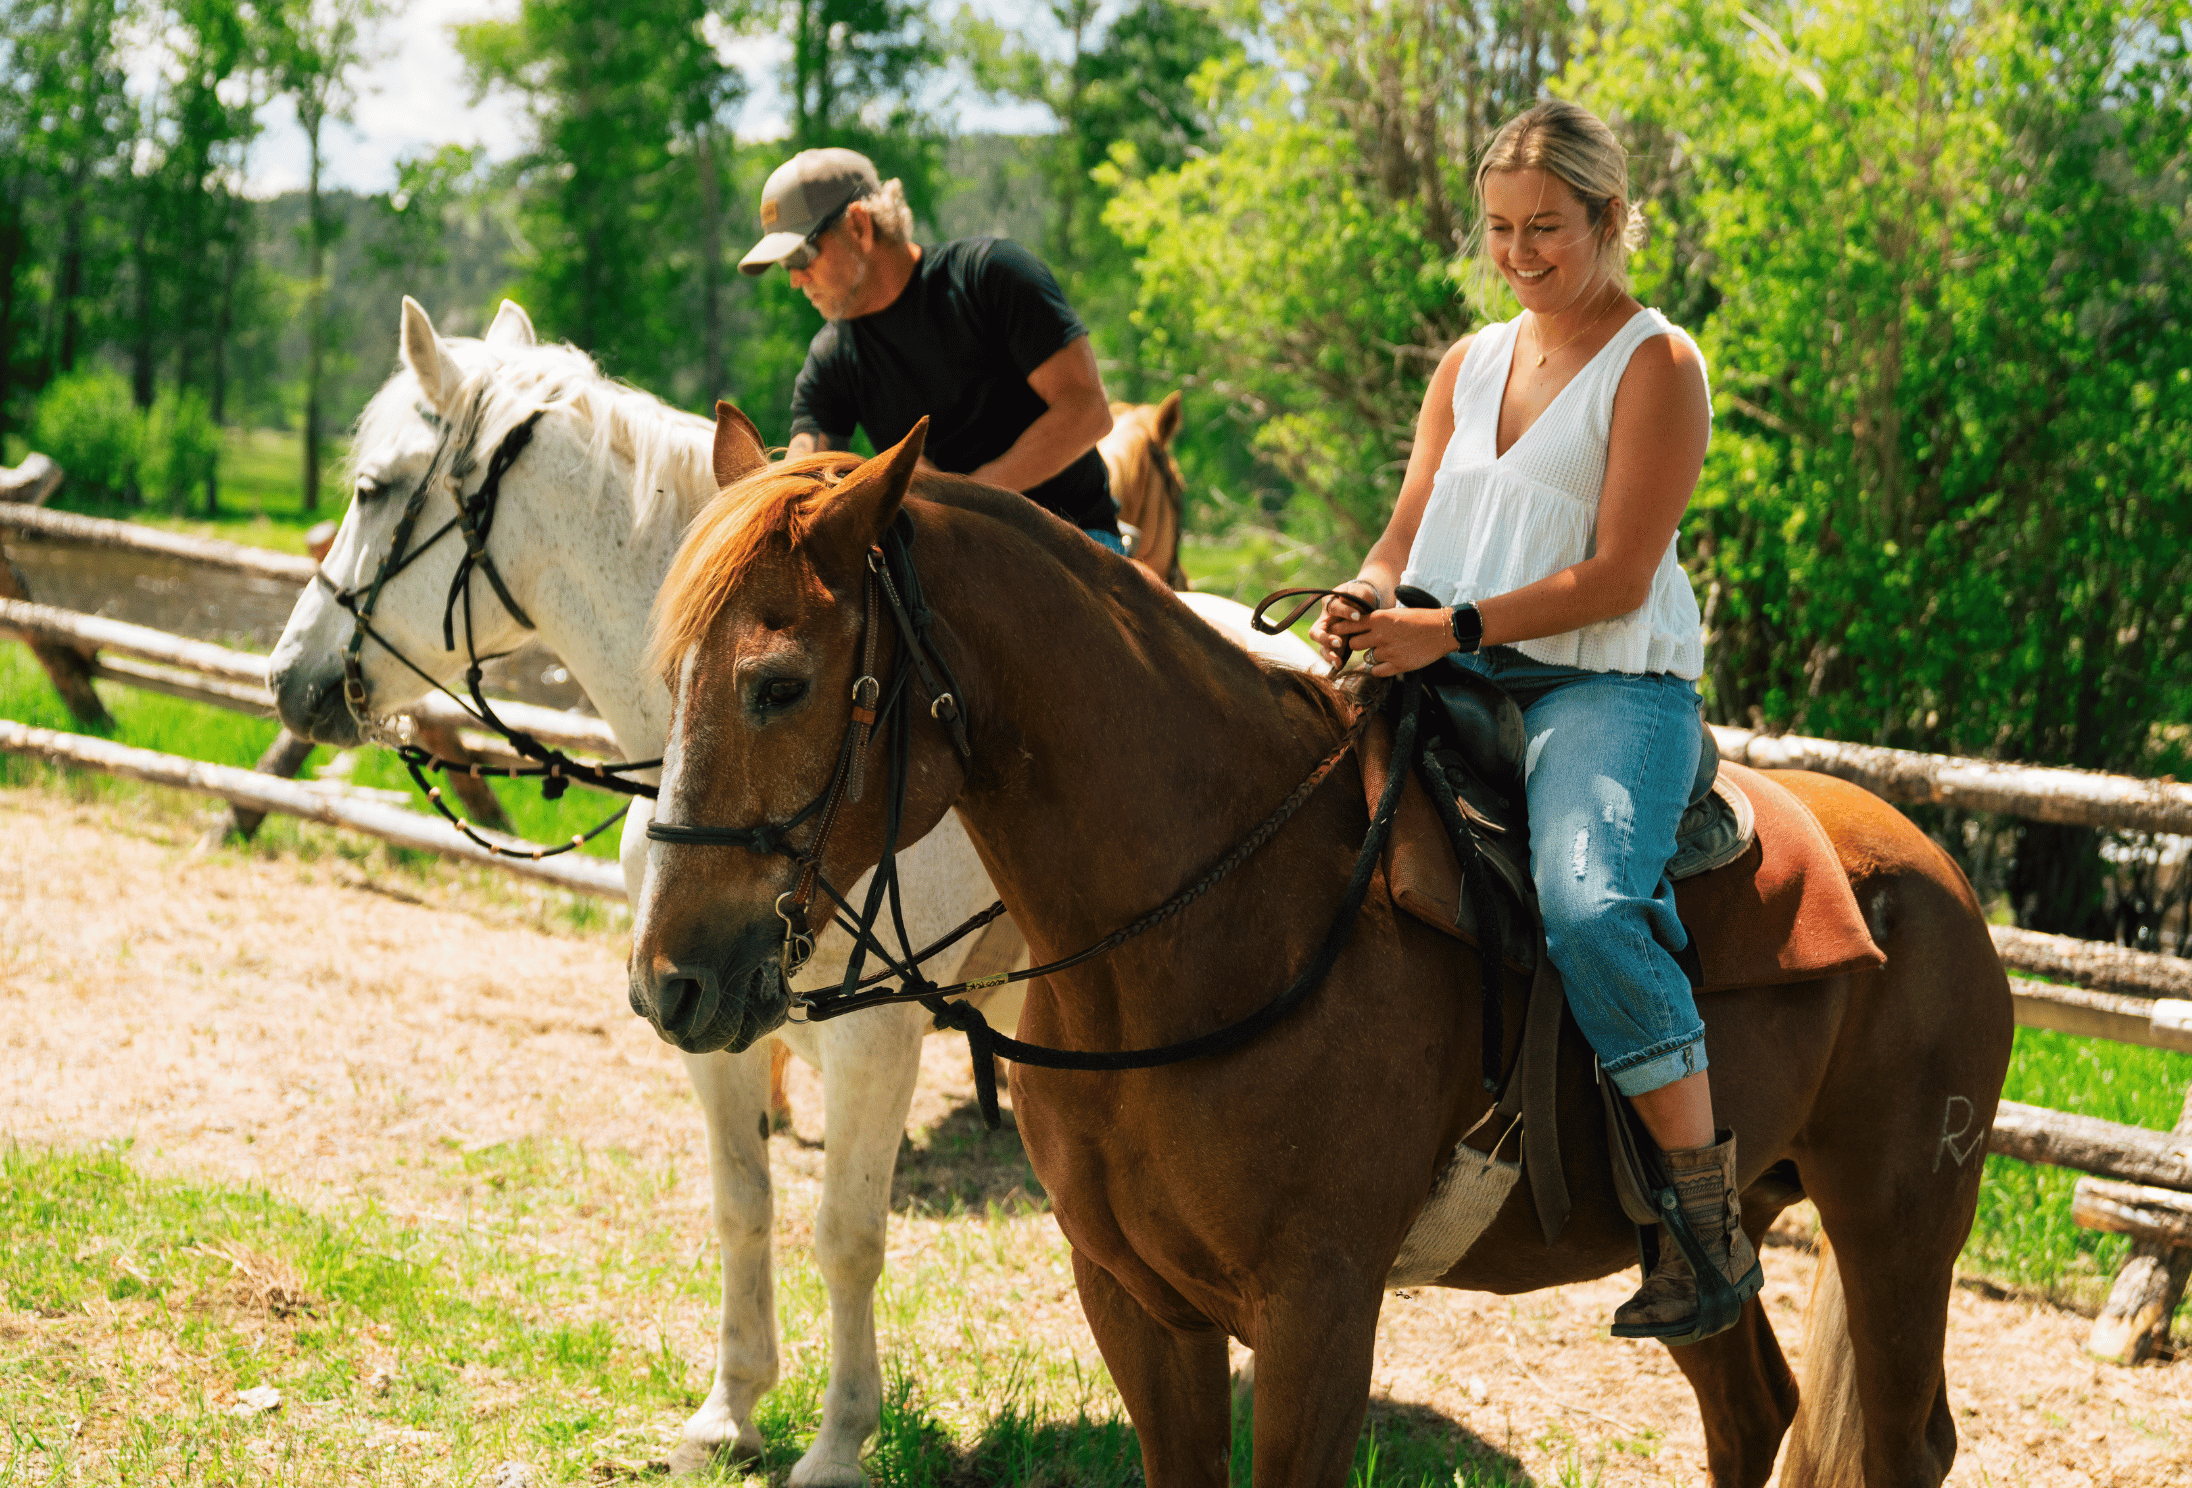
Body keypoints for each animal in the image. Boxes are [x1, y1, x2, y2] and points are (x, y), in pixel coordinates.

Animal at [626, 416, 2007, 1488]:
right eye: (669, 670)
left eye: (780, 684)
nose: (667, 981)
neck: (1210, 923)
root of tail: (1929, 871)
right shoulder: (1135, 1303)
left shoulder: (1317, 1316)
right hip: (1716, 1245)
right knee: (1753, 1412)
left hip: (1897, 1222)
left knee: (1903, 1442)